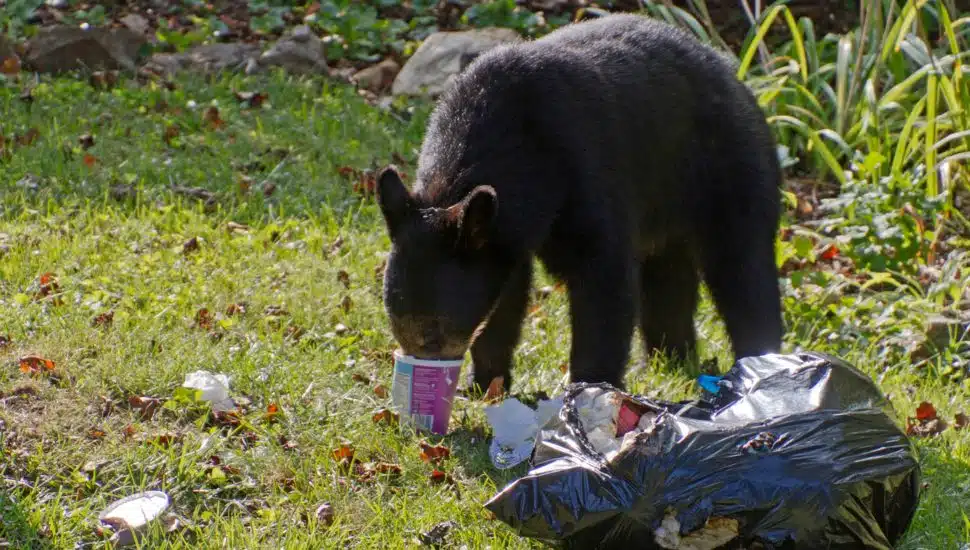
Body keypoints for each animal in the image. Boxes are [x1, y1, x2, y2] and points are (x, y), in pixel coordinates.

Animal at [375, 13, 784, 393]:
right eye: (397, 326)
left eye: (433, 333)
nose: (423, 373)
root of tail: (733, 73)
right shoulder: (504, 231)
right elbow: (506, 296)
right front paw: (485, 384)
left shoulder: (585, 171)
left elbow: (604, 280)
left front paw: (590, 388)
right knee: (668, 281)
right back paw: (667, 361)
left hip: (729, 166)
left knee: (743, 266)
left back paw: (759, 363)